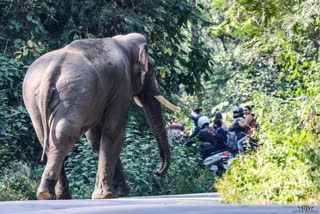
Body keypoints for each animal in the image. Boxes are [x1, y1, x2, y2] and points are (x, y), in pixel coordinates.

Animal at [22, 32, 180, 200]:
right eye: (153, 67)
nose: (156, 172)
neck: (122, 41)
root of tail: (52, 70)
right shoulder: (121, 85)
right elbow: (114, 132)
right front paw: (109, 195)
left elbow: (96, 138)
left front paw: (120, 192)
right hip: (73, 93)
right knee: (65, 135)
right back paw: (48, 194)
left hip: (35, 99)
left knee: (46, 137)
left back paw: (55, 196)